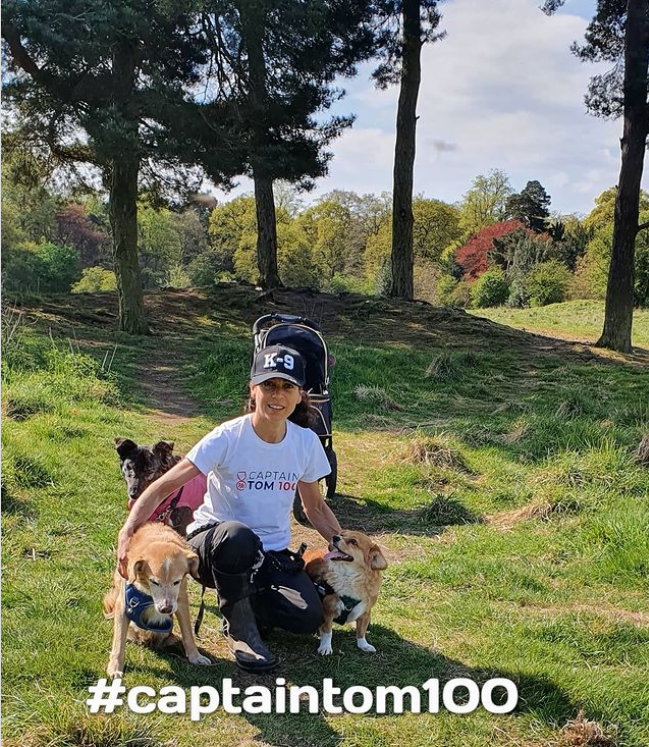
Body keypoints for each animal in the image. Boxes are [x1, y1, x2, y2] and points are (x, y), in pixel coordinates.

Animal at [103, 524, 210, 676]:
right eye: (154, 582)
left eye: (176, 582)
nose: (166, 609)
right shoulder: (123, 605)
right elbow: (118, 641)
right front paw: (115, 667)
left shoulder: (181, 601)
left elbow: (188, 633)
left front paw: (195, 656)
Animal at [302, 528, 384, 656]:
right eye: (341, 535)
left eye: (354, 541)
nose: (335, 537)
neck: (349, 576)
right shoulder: (328, 612)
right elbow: (328, 632)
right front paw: (325, 647)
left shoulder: (365, 612)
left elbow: (361, 632)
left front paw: (363, 645)